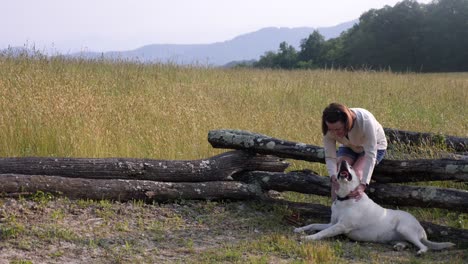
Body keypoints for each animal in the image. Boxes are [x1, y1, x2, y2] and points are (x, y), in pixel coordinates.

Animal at [294, 160, 456, 255]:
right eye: (341, 165)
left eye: (351, 166)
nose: (344, 161)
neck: (346, 197)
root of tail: (422, 230)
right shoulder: (332, 223)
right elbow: (314, 224)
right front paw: (300, 229)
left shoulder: (340, 226)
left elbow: (322, 233)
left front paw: (308, 238)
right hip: (397, 236)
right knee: (407, 243)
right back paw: (399, 246)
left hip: (405, 228)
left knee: (423, 246)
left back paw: (421, 251)